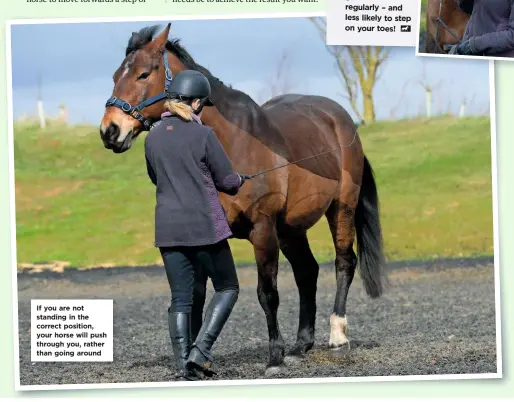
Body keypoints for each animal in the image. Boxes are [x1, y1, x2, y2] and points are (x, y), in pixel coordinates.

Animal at [99, 23, 384, 376]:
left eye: (143, 73)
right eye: (115, 75)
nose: (110, 131)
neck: (231, 142)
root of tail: (341, 121)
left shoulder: (262, 231)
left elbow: (267, 293)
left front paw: (274, 356)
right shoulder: (210, 239)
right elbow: (197, 297)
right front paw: (196, 359)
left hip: (340, 209)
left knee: (344, 263)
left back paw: (338, 336)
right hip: (290, 230)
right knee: (307, 272)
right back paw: (302, 344)